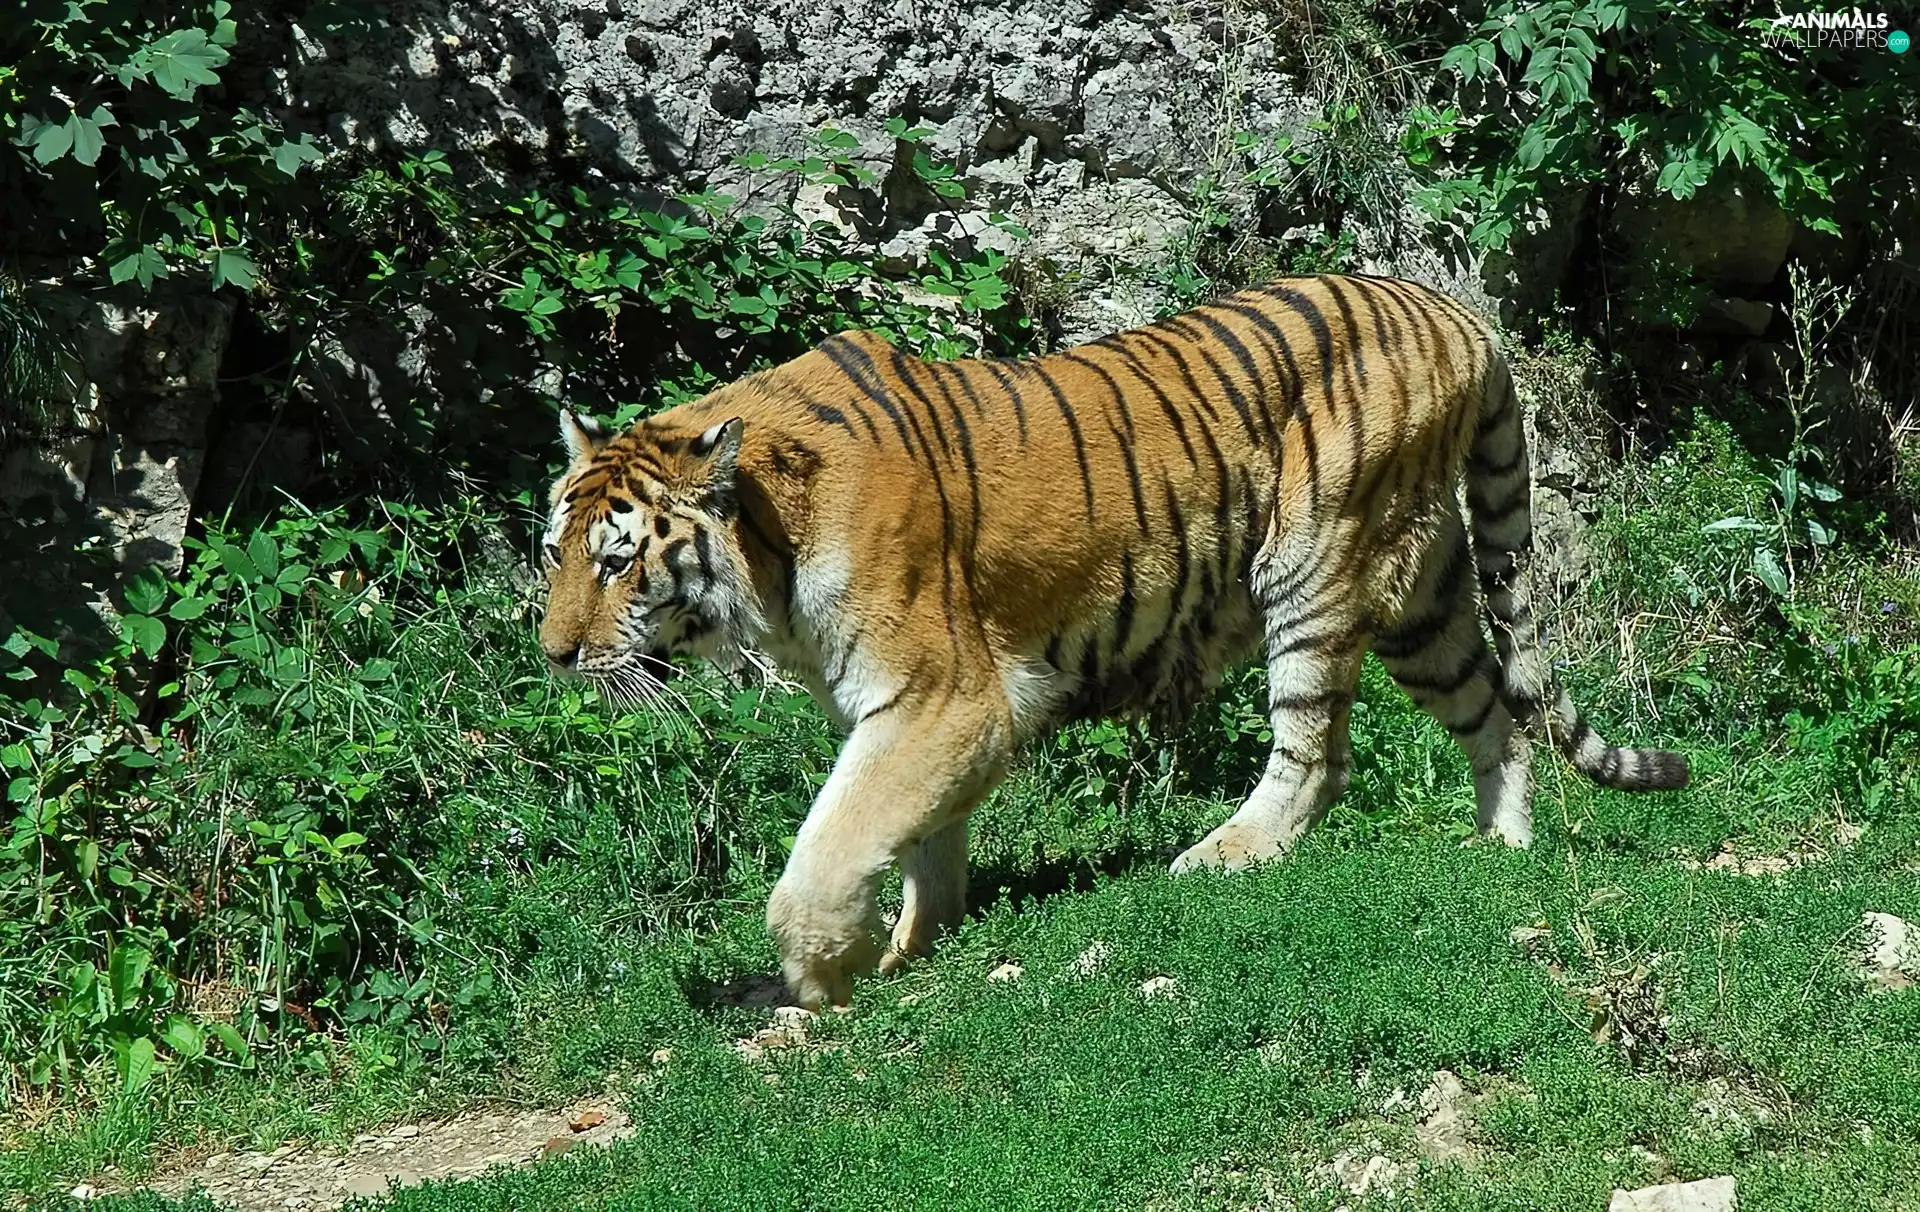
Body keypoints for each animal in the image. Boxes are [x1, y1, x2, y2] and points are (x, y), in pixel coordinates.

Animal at [537, 273, 1690, 1010]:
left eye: (617, 563)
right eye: (556, 552)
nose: (553, 655)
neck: (769, 546)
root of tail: (1457, 311)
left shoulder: (940, 695)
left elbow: (830, 847)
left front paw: (822, 975)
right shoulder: (921, 711)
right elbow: (921, 838)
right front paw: (916, 944)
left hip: (1316, 559)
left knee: (1318, 755)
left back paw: (1223, 856)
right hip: (1428, 597)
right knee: (1495, 708)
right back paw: (1504, 849)